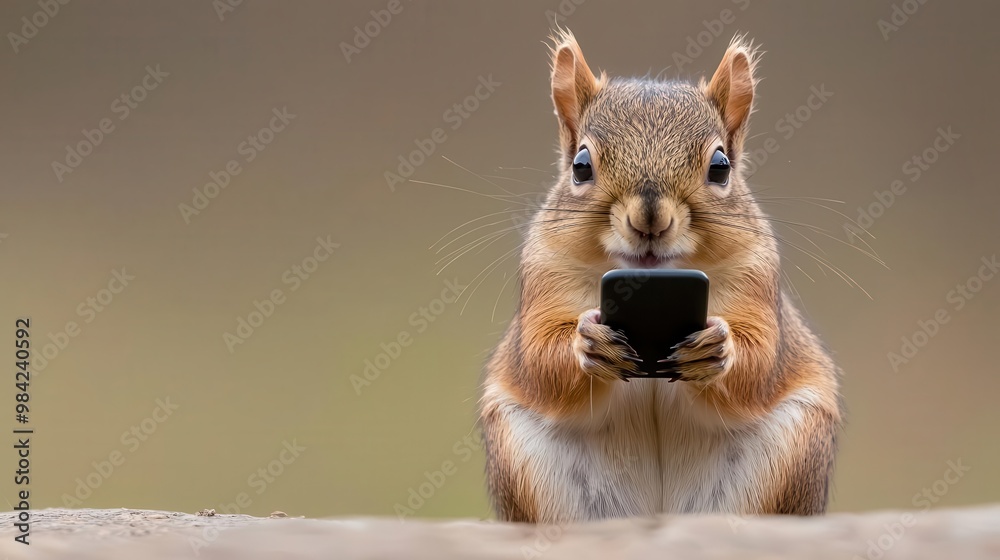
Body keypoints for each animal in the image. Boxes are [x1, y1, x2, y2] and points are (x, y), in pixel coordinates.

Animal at [479, 30, 843, 523]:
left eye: (720, 167)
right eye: (580, 166)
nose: (649, 219)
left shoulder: (757, 279)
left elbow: (761, 359)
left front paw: (718, 347)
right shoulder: (543, 277)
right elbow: (539, 358)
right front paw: (587, 341)